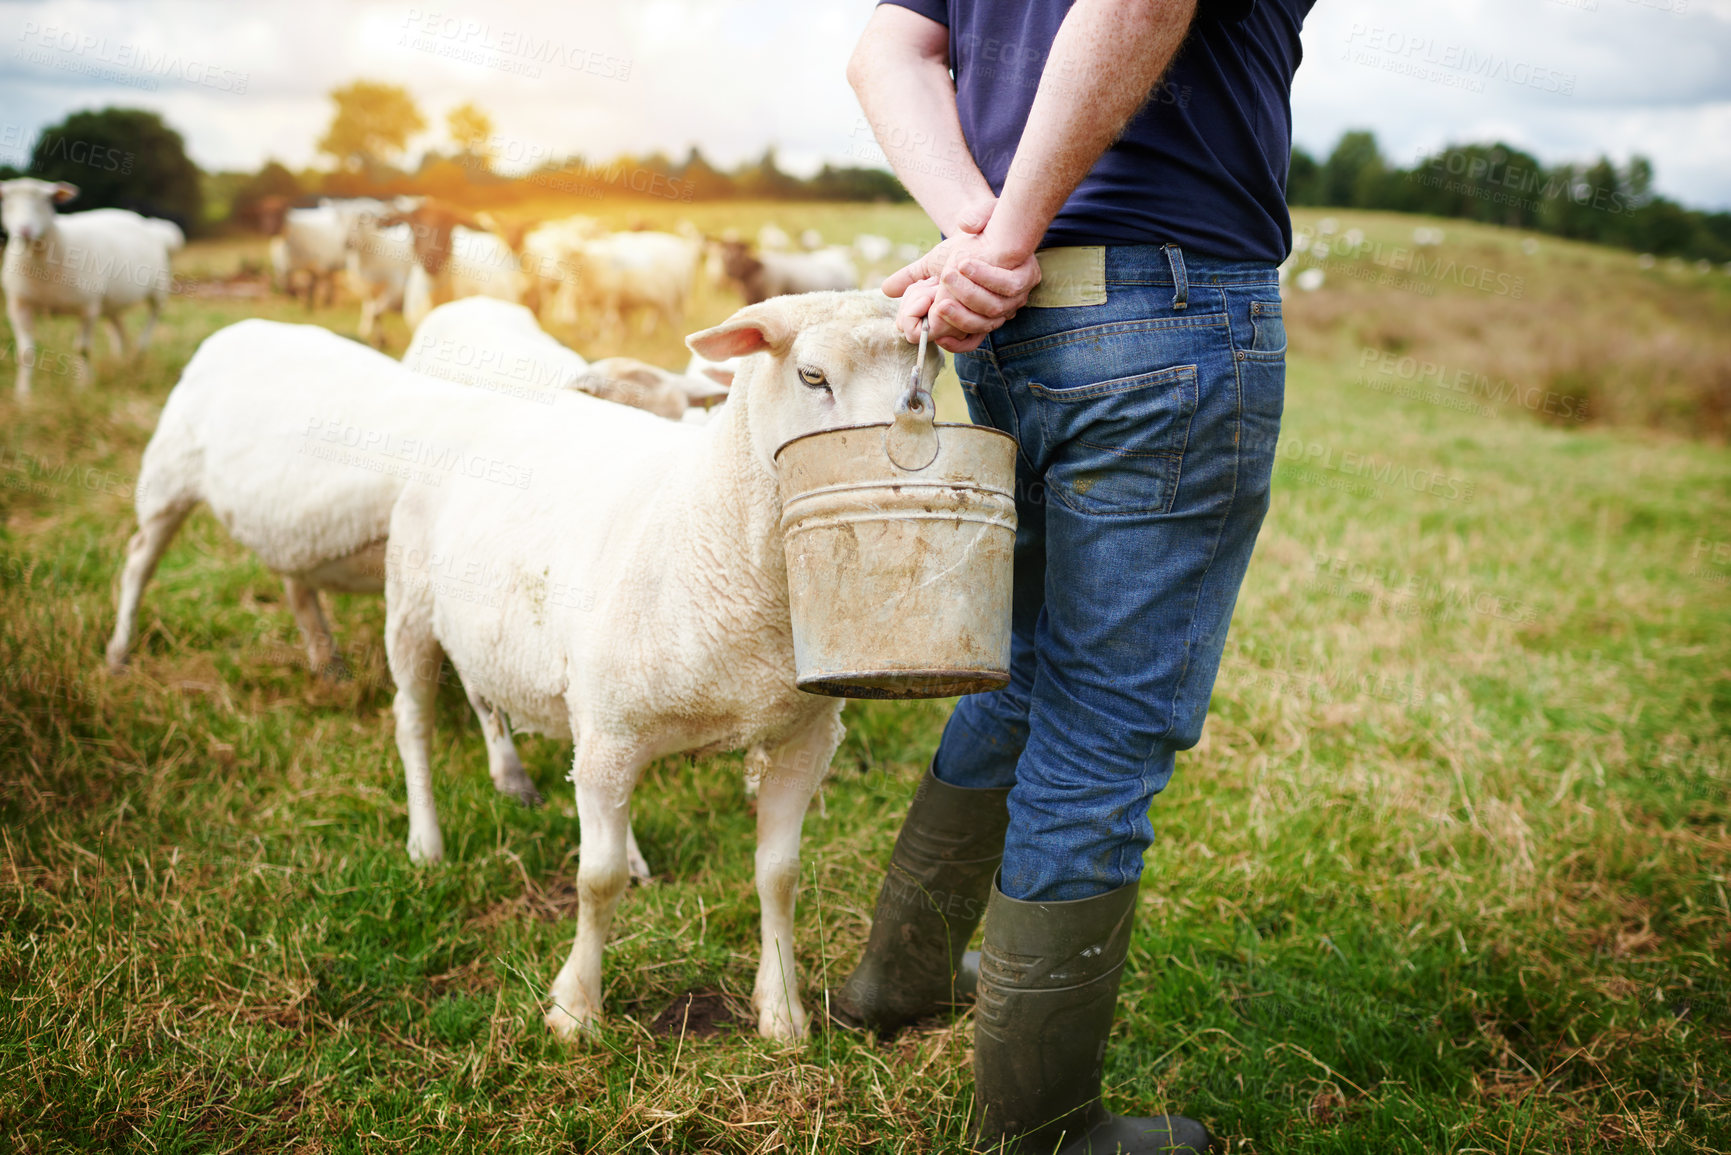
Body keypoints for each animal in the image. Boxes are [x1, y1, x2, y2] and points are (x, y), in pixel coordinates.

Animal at [0, 178, 173, 398]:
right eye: (6, 201)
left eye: (46, 200)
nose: (25, 230)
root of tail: (140, 219)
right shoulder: (18, 306)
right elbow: (25, 354)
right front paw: (23, 396)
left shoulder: (88, 307)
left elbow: (83, 348)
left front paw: (82, 387)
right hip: (110, 301)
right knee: (118, 327)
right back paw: (121, 360)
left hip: (158, 289)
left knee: (153, 315)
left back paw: (139, 352)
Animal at [380, 287, 941, 1038]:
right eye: (812, 376)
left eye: (931, 374)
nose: (907, 477)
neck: (707, 528)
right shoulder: (610, 734)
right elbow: (596, 881)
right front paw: (575, 1009)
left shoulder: (805, 736)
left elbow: (780, 874)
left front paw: (782, 1011)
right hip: (410, 604)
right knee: (412, 722)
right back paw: (426, 842)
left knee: (484, 691)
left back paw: (517, 782)